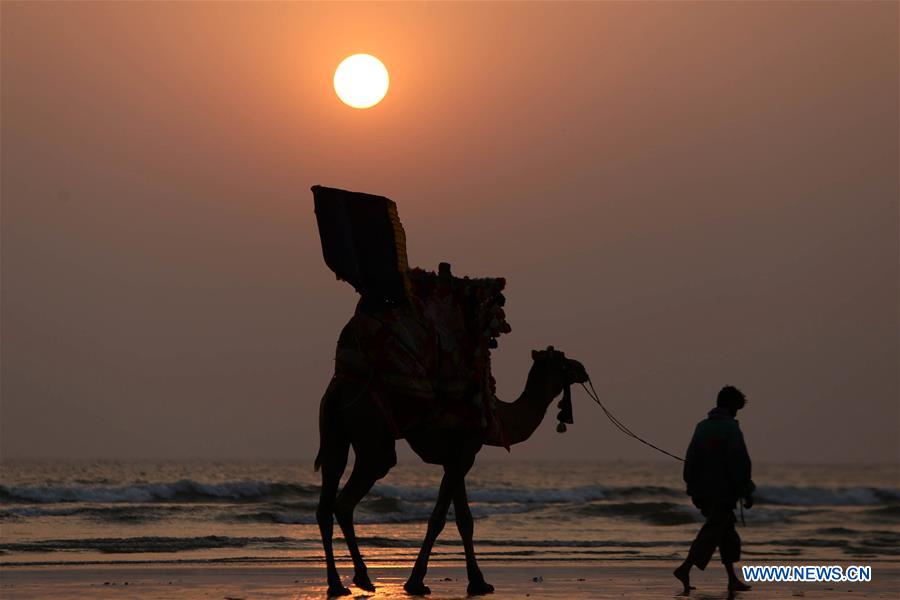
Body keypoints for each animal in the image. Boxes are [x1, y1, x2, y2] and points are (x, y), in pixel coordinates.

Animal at [312, 342, 588, 596]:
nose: (583, 369)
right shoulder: (464, 454)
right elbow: (438, 519)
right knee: (347, 499)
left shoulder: (457, 457)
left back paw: (337, 585)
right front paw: (416, 582)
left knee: (326, 500)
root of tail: (337, 389)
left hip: (334, 432)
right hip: (372, 434)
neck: (498, 415)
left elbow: (465, 519)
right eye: (564, 361)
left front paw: (478, 582)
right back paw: (361, 578)